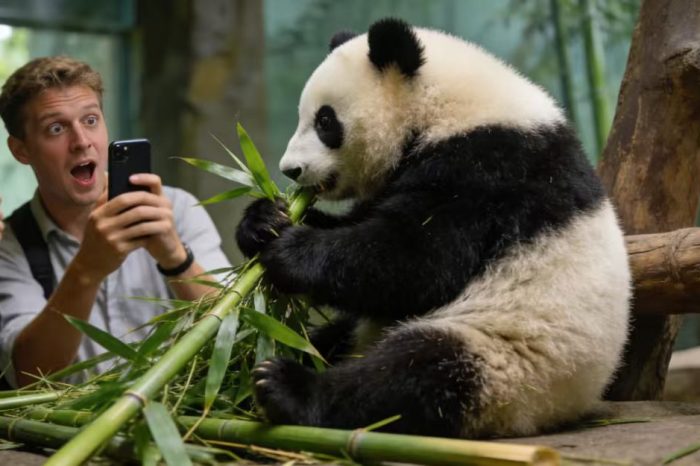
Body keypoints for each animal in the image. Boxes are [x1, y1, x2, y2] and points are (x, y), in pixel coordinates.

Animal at [236, 18, 631, 439]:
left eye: (326, 121)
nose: (290, 170)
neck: (445, 106)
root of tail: (569, 406)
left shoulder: (487, 171)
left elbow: (417, 260)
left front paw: (289, 250)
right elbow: (364, 229)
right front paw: (263, 221)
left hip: (507, 356)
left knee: (411, 375)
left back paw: (284, 385)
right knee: (329, 340)